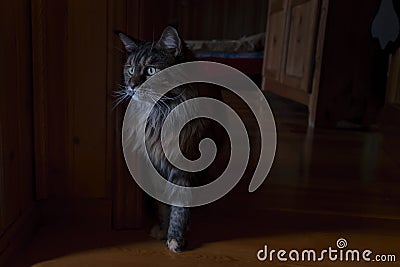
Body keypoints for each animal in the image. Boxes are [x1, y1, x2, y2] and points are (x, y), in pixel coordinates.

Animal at [115, 25, 223, 253]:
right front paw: (163, 230)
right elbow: (163, 205)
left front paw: (175, 238)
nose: (131, 86)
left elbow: (180, 206)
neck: (160, 114)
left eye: (151, 71)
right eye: (130, 69)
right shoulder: (155, 164)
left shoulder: (183, 167)